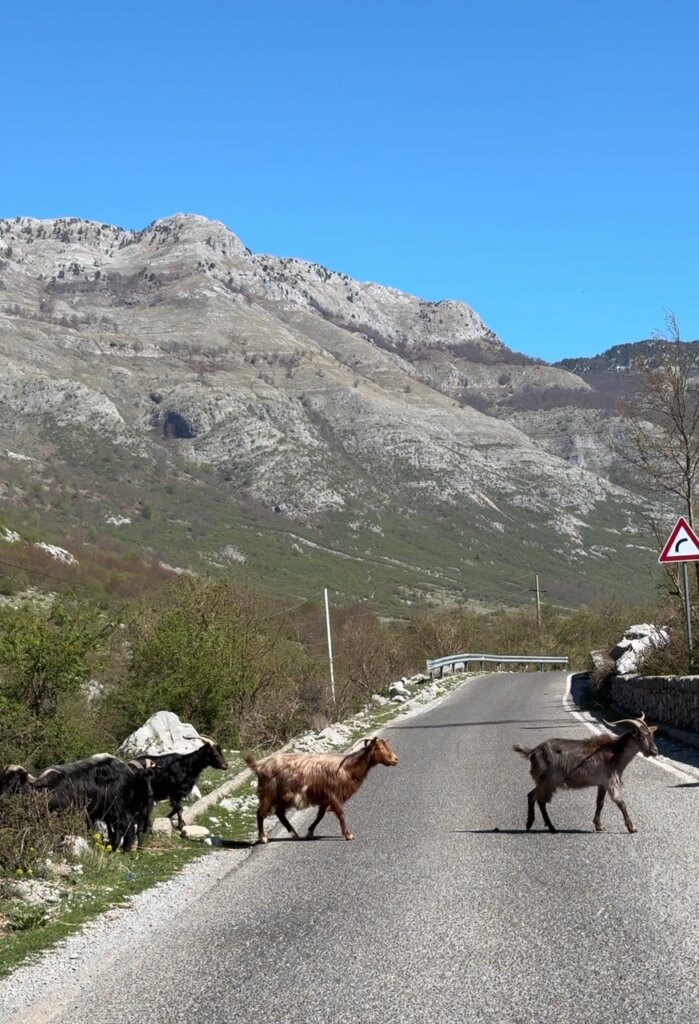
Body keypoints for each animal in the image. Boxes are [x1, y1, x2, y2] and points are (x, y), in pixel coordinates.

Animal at [245, 741, 399, 843]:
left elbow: (320, 816)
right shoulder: (333, 795)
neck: (348, 768)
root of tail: (259, 766)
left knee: (279, 813)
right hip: (269, 794)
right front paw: (348, 835)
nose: (395, 759)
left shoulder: (326, 798)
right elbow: (341, 814)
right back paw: (264, 838)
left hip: (282, 796)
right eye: (379, 748)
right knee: (260, 813)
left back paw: (294, 833)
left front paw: (310, 832)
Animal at [511, 712, 659, 831]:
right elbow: (621, 803)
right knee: (540, 800)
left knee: (532, 795)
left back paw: (531, 823)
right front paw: (632, 827)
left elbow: (600, 802)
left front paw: (599, 825)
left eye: (652, 735)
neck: (616, 751)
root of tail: (533, 751)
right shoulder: (611, 781)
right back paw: (549, 827)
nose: (655, 751)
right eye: (641, 737)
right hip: (548, 780)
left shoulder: (602, 783)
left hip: (544, 781)